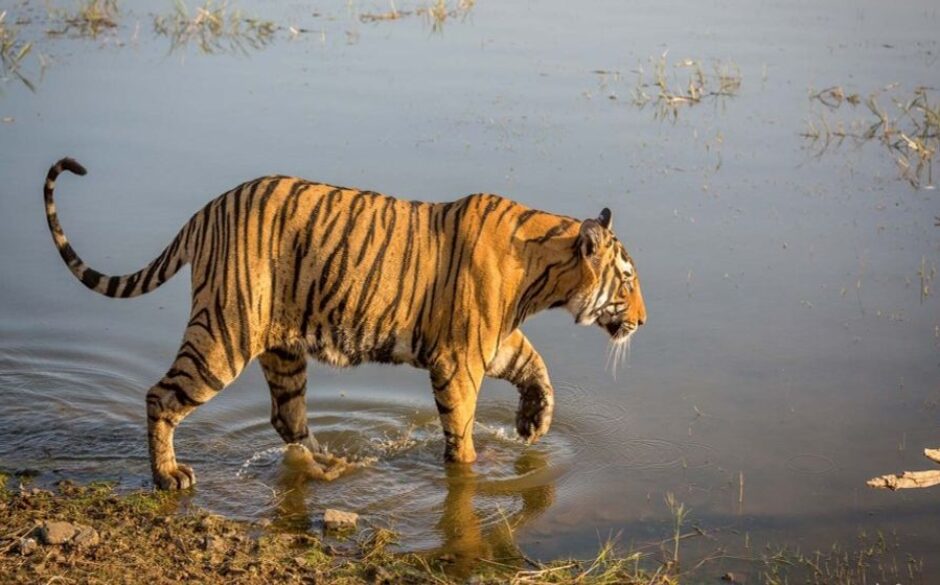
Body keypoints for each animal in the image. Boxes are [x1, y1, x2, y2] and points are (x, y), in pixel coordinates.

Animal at [44, 157, 648, 490]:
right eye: (626, 281)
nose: (643, 320)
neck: (542, 272)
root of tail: (208, 209)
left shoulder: (492, 341)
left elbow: (535, 366)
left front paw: (533, 424)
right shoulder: (459, 360)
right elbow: (462, 430)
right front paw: (472, 470)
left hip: (282, 349)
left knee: (287, 421)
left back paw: (331, 466)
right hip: (223, 334)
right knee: (161, 396)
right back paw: (169, 476)